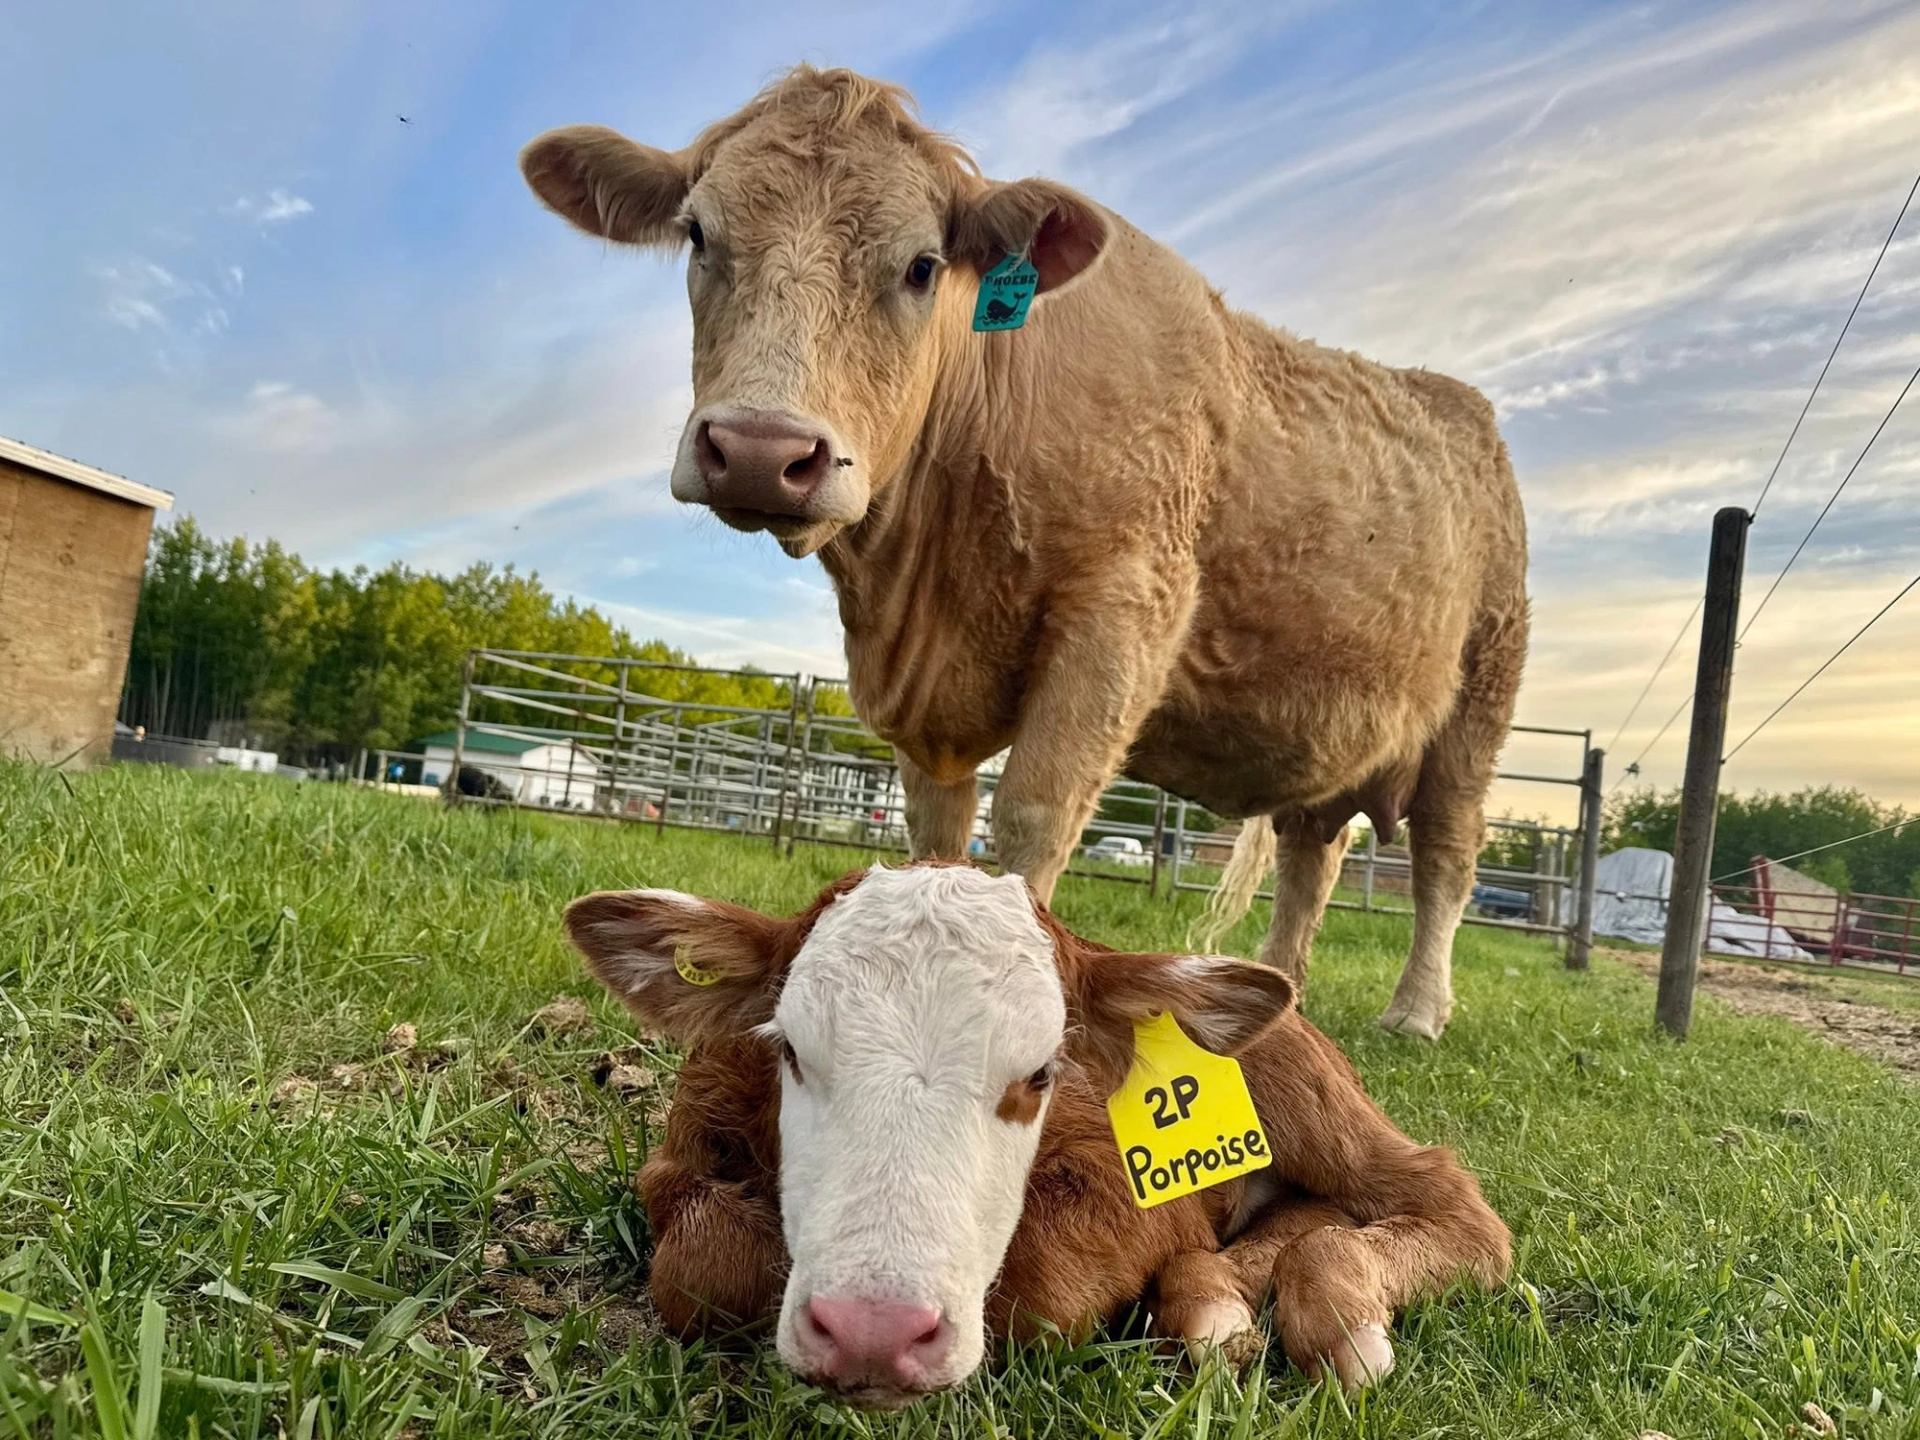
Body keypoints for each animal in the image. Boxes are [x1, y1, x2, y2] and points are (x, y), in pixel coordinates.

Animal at [522, 66, 1529, 1039]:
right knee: (1311, 856)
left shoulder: (1123, 612)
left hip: (1481, 698)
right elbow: (936, 833)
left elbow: (1033, 816)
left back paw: (1416, 1012)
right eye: (699, 235)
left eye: (923, 266)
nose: (763, 449)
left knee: (1445, 857)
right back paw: (1287, 993)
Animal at [565, 863, 1511, 1409]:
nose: (874, 1332)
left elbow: (1046, 1290)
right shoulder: (681, 1148)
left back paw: (1330, 1318)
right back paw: (1223, 1306)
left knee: (1449, 1202)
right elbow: (702, 1264)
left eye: (1042, 1073)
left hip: (1312, 1099)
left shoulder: (1133, 1197)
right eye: (789, 1049)